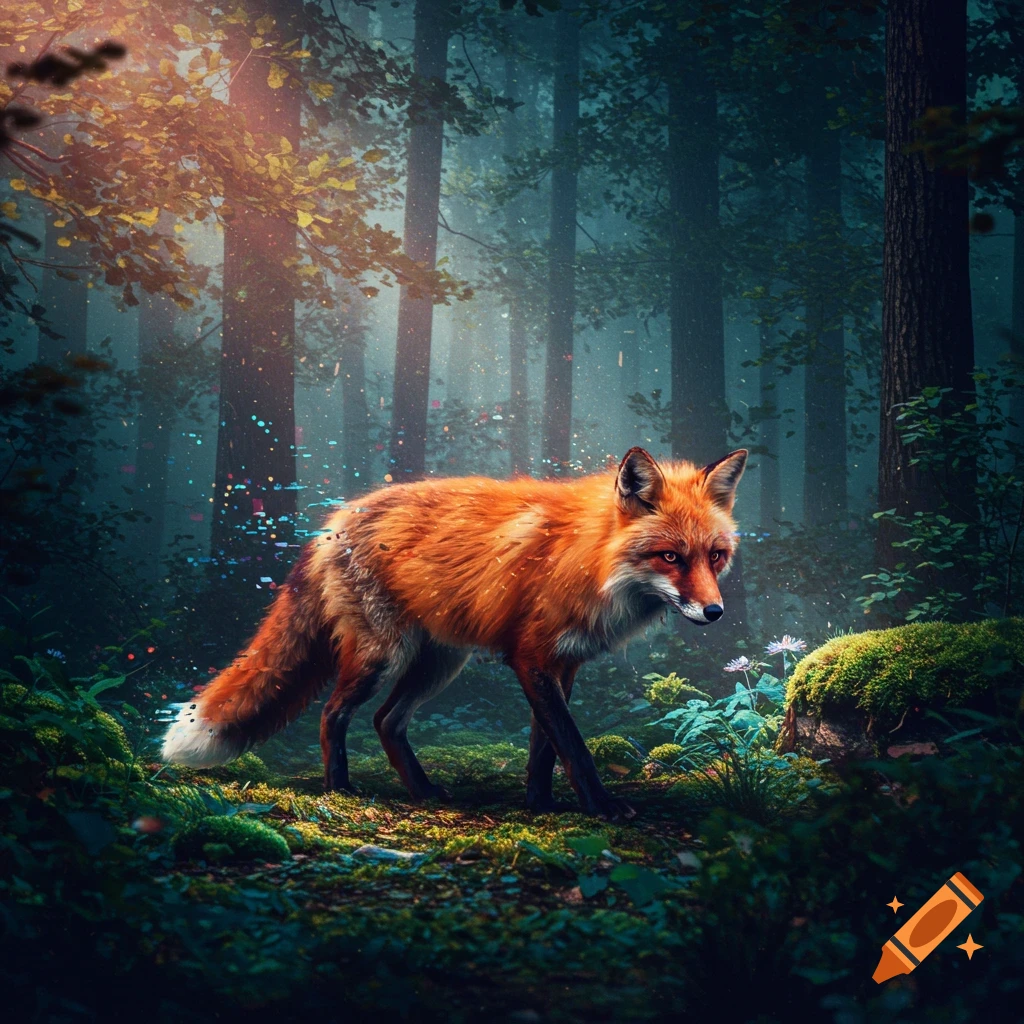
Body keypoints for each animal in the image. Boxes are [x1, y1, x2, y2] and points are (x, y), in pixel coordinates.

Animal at [161, 446, 747, 820]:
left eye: (715, 556)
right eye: (670, 557)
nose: (715, 611)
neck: (589, 556)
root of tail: (333, 522)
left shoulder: (563, 663)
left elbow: (545, 746)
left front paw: (541, 805)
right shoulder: (531, 658)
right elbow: (573, 744)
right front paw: (600, 807)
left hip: (439, 664)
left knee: (386, 721)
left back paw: (422, 791)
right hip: (381, 655)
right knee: (333, 713)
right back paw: (341, 789)